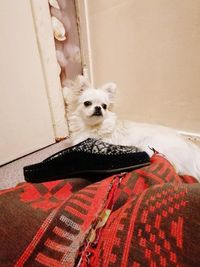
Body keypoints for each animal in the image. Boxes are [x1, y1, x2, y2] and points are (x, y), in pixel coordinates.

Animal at [63, 76, 200, 182]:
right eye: (87, 103)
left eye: (104, 106)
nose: (98, 108)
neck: (92, 128)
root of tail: (190, 146)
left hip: (150, 145)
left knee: (176, 168)